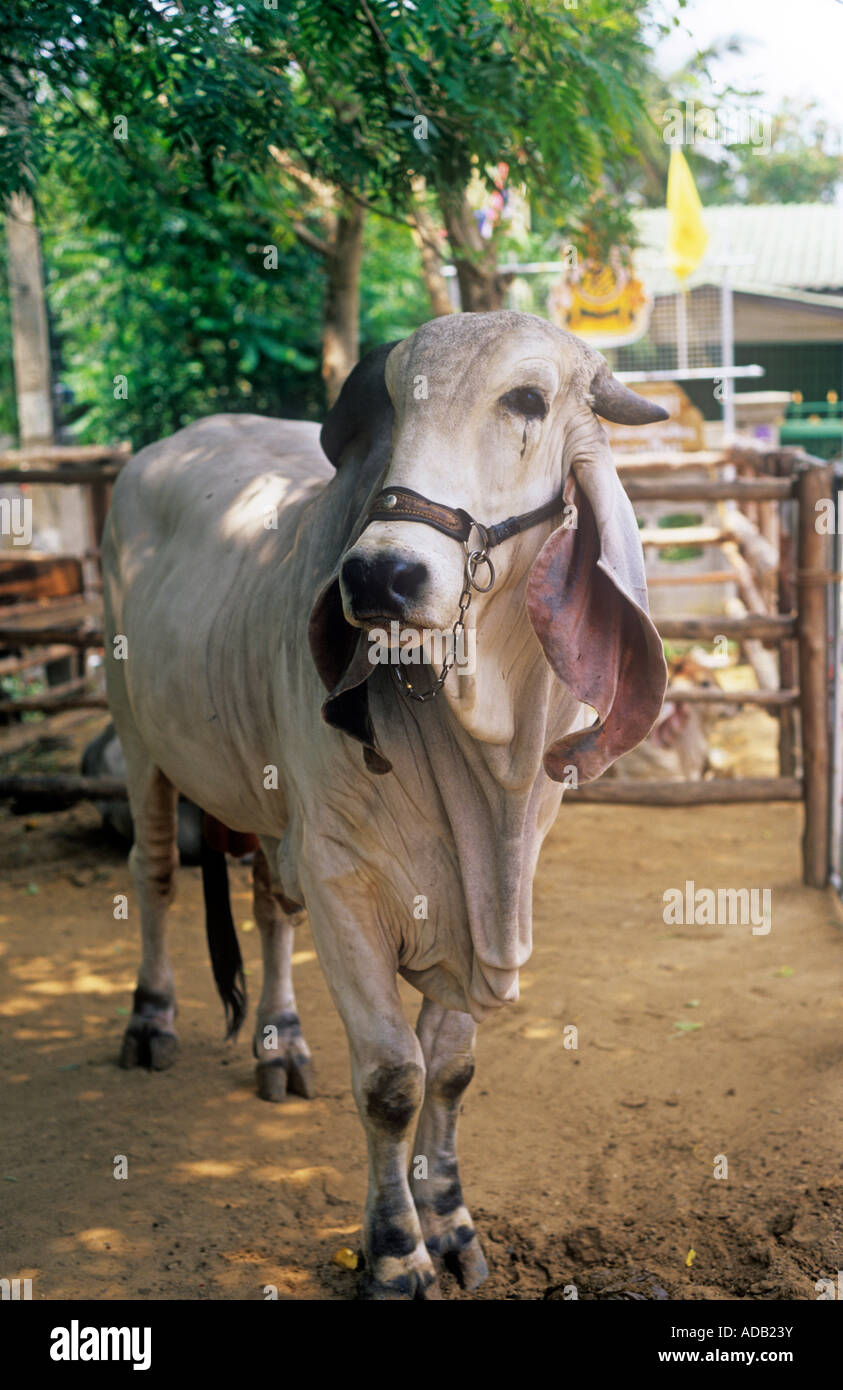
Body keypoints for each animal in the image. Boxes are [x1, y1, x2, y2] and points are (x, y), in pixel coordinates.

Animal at [102, 309, 670, 1295]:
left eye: (527, 399)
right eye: (397, 403)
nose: (379, 578)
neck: (485, 764)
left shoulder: (477, 899)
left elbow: (450, 1070)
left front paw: (449, 1224)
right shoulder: (343, 881)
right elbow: (392, 1080)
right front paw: (395, 1249)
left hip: (268, 805)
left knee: (268, 904)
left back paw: (282, 1043)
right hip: (136, 731)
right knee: (157, 873)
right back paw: (151, 1019)